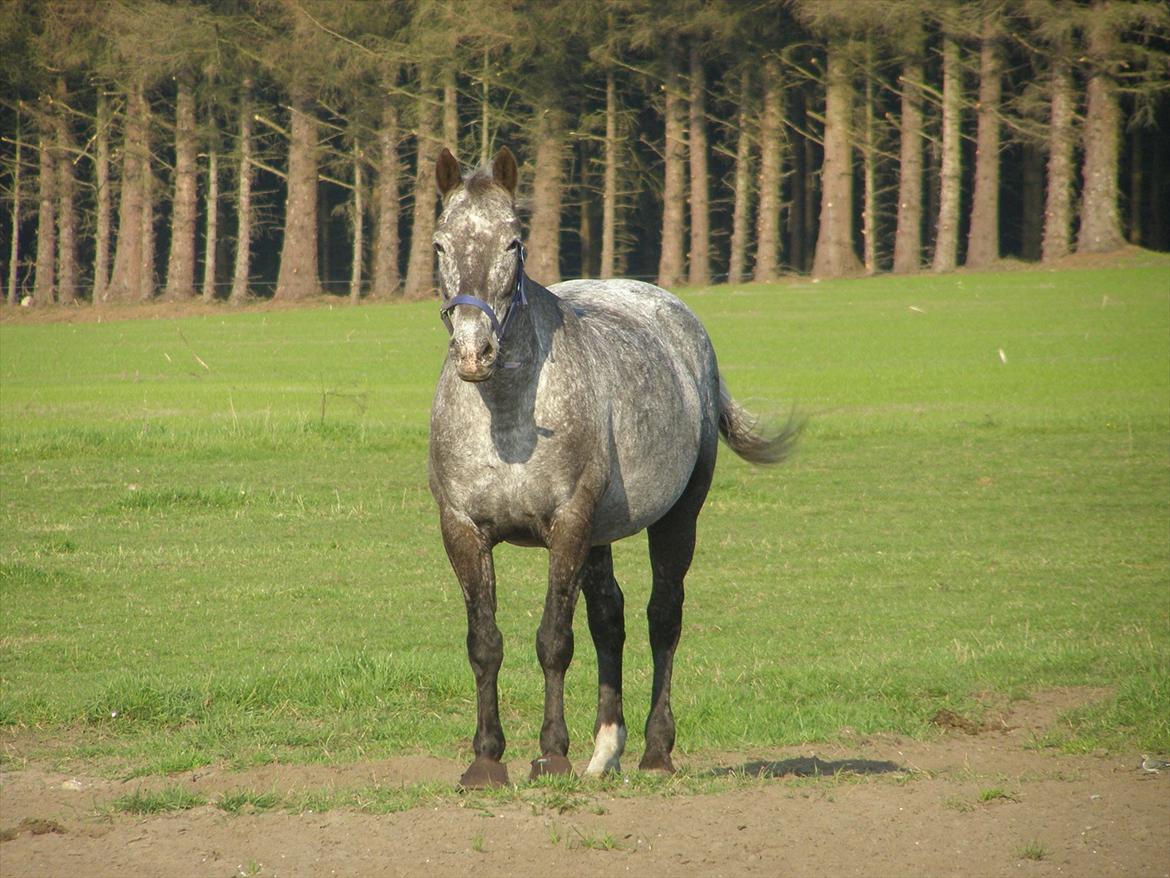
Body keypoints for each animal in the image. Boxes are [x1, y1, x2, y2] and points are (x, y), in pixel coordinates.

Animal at [430, 146, 804, 791]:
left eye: (512, 241)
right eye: (439, 245)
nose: (475, 351)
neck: (506, 419)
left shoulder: (567, 525)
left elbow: (554, 640)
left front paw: (551, 754)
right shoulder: (464, 529)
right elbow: (486, 643)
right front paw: (486, 760)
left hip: (676, 518)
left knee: (662, 617)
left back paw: (656, 750)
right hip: (601, 535)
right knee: (611, 619)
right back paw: (606, 751)